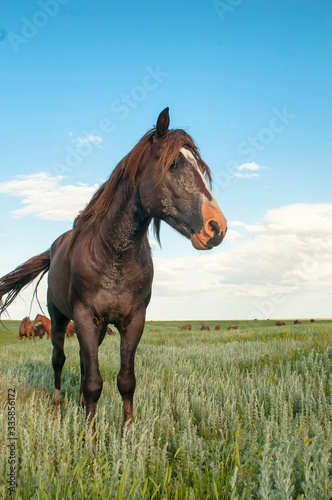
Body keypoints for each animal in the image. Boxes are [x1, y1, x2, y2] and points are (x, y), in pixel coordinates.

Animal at [0, 107, 227, 452]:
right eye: (174, 164)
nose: (217, 227)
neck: (112, 254)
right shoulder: (83, 317)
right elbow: (94, 381)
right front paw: (91, 443)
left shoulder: (133, 320)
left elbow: (124, 380)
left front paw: (127, 435)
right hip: (60, 318)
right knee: (59, 360)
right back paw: (58, 411)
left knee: (83, 363)